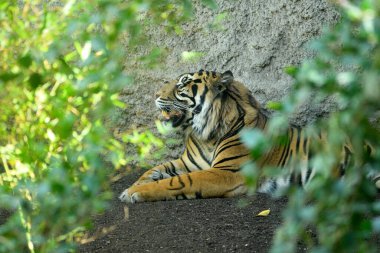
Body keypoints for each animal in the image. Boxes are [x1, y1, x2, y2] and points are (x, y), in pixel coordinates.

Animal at [119, 69, 380, 204]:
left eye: (181, 85)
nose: (154, 94)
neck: (205, 134)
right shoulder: (186, 162)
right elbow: (153, 171)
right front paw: (135, 185)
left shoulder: (226, 172)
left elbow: (177, 182)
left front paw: (132, 193)